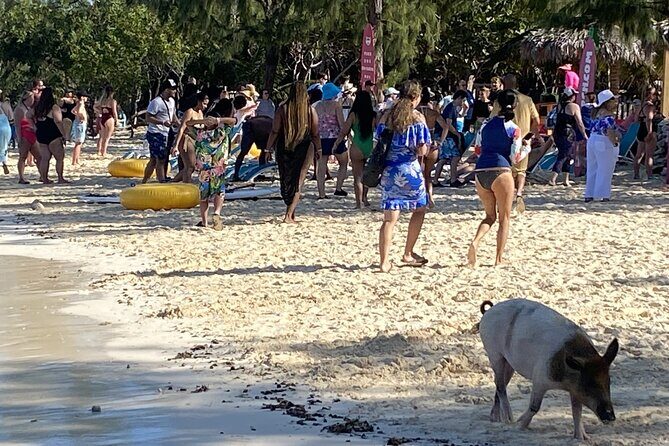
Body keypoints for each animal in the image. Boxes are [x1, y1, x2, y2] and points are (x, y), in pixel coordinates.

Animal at [478, 298, 618, 440]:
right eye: (590, 383)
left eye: (609, 381)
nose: (611, 416)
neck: (565, 381)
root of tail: (489, 311)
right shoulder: (539, 379)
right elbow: (535, 407)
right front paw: (519, 425)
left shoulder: (575, 390)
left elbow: (577, 411)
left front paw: (583, 438)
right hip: (494, 354)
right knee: (500, 386)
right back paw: (509, 419)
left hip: (509, 364)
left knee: (498, 384)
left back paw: (495, 419)